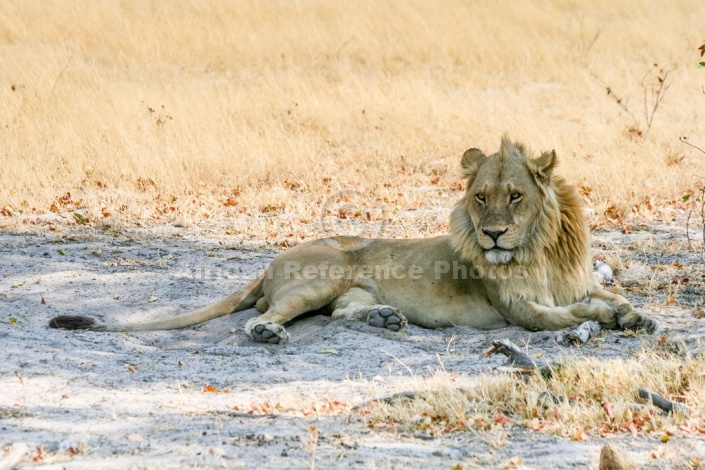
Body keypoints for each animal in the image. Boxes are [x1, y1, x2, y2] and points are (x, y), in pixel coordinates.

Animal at [48, 136, 656, 342]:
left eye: (514, 197)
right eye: (481, 198)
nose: (492, 235)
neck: (540, 249)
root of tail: (269, 262)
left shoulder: (572, 282)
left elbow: (605, 293)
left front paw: (635, 313)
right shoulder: (517, 309)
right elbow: (567, 315)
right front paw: (608, 319)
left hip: (343, 289)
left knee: (342, 312)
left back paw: (384, 318)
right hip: (321, 276)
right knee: (264, 315)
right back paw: (267, 332)